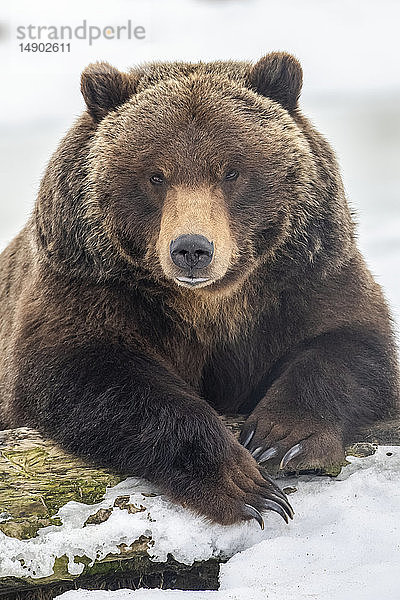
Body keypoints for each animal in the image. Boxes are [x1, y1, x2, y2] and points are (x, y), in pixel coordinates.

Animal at [0, 52, 400, 524]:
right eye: (156, 175)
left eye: (231, 171)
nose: (191, 248)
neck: (207, 302)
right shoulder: (91, 286)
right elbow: (84, 372)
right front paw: (245, 486)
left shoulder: (304, 278)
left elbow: (354, 342)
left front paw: (282, 440)